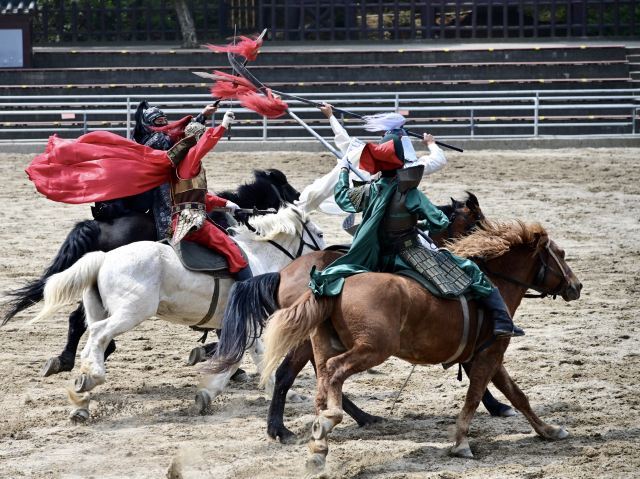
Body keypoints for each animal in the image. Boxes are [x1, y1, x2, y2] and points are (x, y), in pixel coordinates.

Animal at [2, 169, 300, 378]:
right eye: (283, 186)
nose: (298, 197)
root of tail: (96, 225)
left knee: (79, 319)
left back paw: (68, 360)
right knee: (85, 320)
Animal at [258, 221, 580, 476]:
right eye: (562, 255)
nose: (576, 286)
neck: (494, 282)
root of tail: (328, 284)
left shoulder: (486, 356)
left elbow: (517, 396)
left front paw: (548, 430)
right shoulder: (490, 354)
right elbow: (475, 397)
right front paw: (461, 443)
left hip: (323, 345)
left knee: (321, 382)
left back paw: (319, 443)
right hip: (371, 349)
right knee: (330, 373)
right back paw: (322, 422)